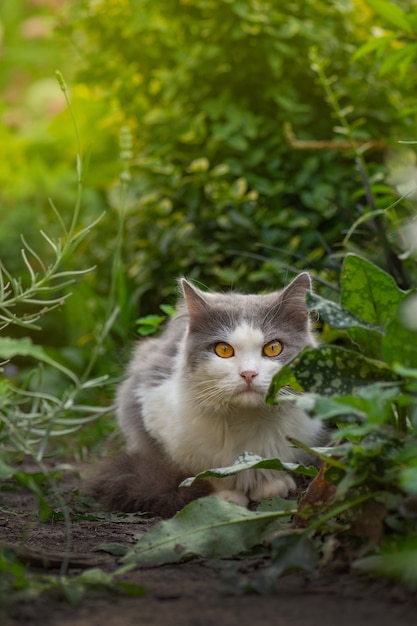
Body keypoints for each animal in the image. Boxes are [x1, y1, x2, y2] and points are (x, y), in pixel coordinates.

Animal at [87, 272, 322, 516]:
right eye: (224, 350)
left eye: (273, 348)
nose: (248, 374)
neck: (247, 419)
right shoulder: (153, 408)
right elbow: (207, 473)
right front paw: (226, 496)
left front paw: (271, 485)